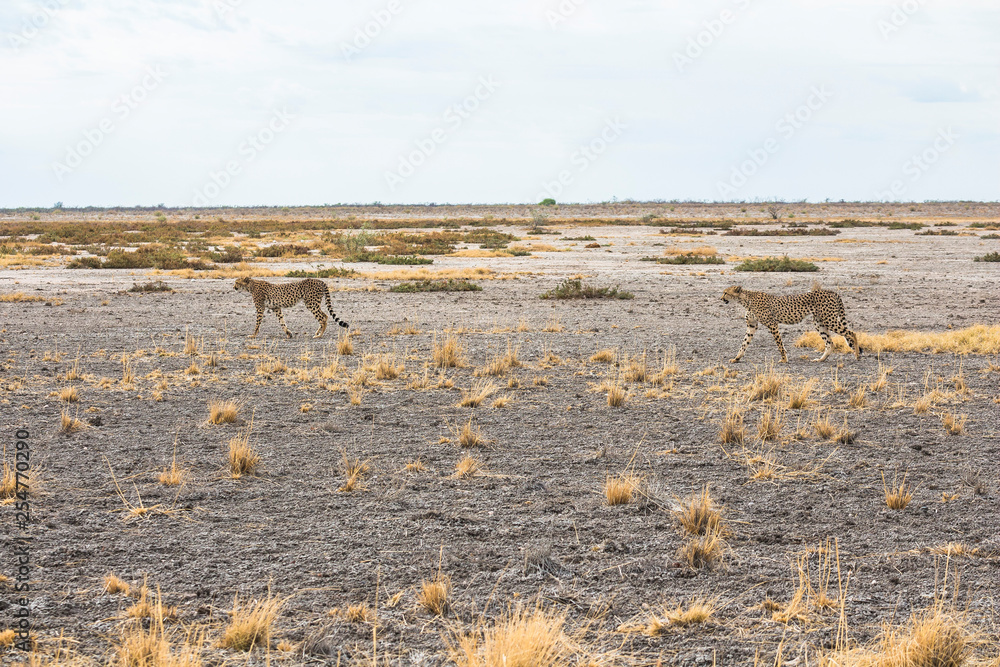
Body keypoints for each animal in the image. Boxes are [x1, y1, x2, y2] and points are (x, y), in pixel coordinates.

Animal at [721, 284, 861, 364]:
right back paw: (821, 359)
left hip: (829, 319)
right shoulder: (752, 325)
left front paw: (784, 359)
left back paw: (857, 355)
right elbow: (744, 343)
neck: (745, 300)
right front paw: (737, 358)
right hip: (819, 322)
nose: (721, 298)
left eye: (726, 292)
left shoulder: (772, 324)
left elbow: (779, 344)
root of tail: (832, 291)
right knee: (830, 343)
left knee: (851, 333)